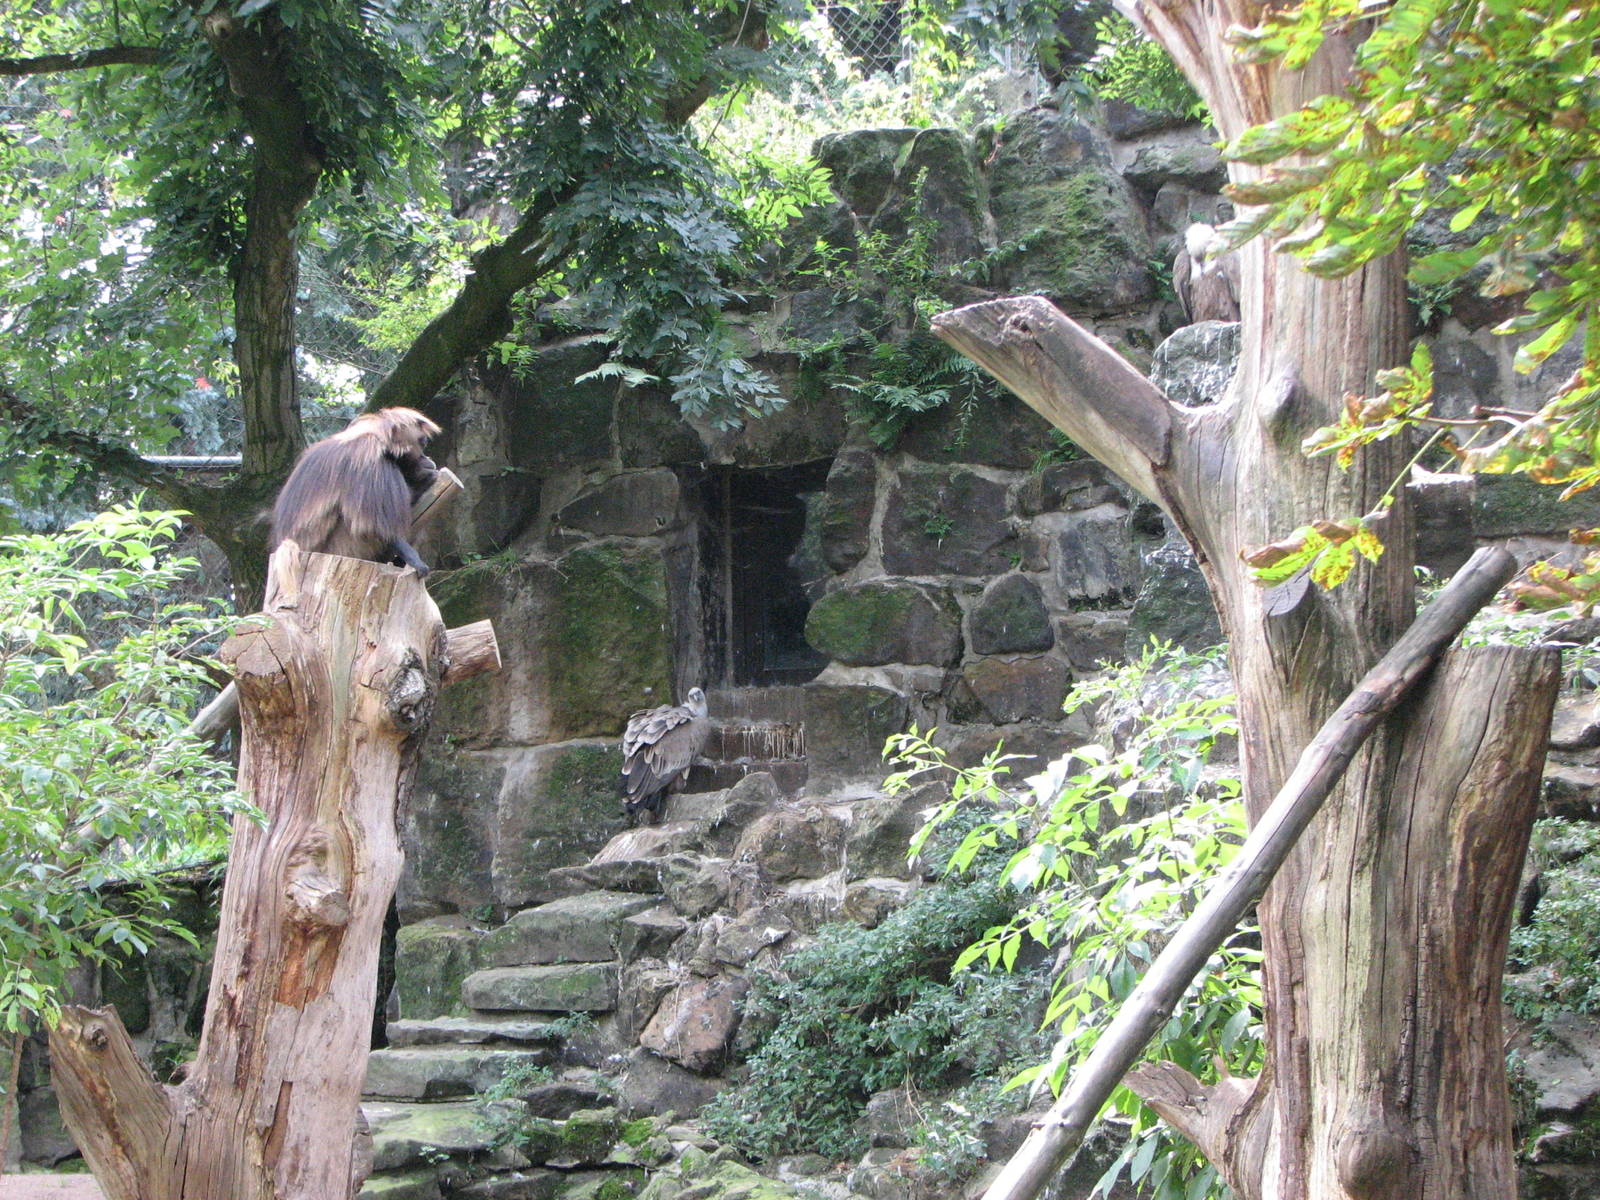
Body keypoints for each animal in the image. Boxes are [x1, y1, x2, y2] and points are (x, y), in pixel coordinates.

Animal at [270, 407, 442, 576]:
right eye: (422, 442)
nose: (427, 458)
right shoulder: (368, 456)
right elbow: (373, 526)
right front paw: (412, 557)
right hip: (342, 547)